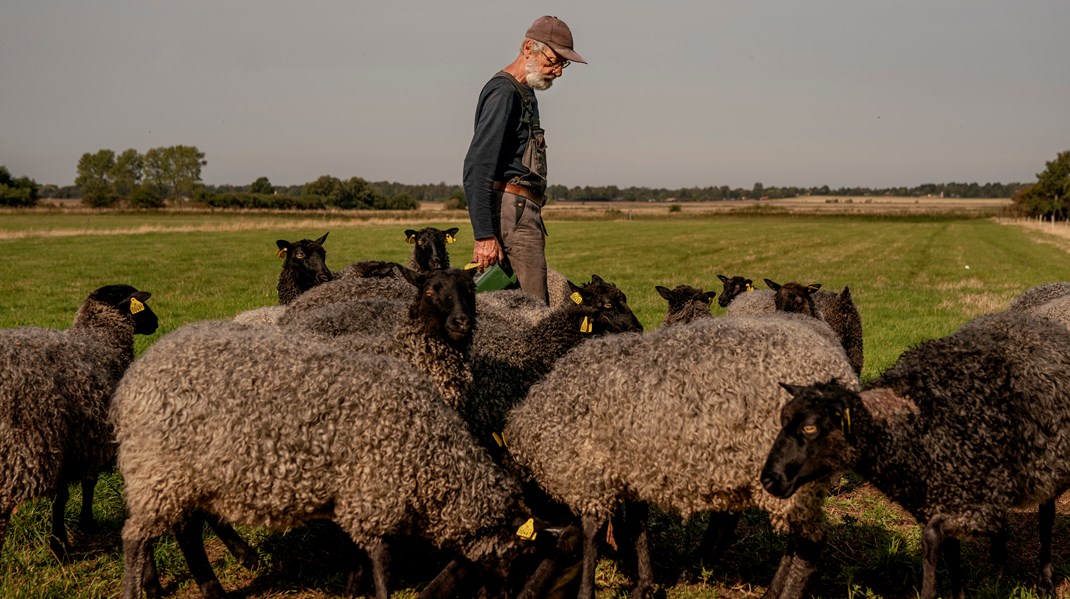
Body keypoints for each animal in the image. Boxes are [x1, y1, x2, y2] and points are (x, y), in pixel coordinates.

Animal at [0, 284, 157, 556]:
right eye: (140, 305)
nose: (156, 322)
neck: (103, 338)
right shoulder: (84, 439)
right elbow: (76, 489)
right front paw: (62, 542)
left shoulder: (79, 441)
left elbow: (77, 488)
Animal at [111, 323, 547, 599]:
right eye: (519, 559)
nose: (508, 596)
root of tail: (133, 380)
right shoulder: (372, 495)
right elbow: (380, 560)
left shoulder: (356, 498)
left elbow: (360, 555)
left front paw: (352, 589)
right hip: (161, 469)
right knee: (137, 537)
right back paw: (141, 589)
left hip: (185, 475)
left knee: (182, 530)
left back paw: (208, 586)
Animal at [502, 314, 860, 599]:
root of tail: (841, 371)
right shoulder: (631, 468)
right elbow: (638, 524)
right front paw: (644, 584)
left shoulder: (590, 474)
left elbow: (591, 534)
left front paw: (586, 592)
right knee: (796, 541)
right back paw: (771, 592)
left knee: (810, 544)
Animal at [761, 310, 1070, 594]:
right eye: (782, 419)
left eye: (810, 428)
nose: (769, 479)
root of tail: (1038, 322)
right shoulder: (941, 497)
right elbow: (952, 554)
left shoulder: (976, 503)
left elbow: (932, 539)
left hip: (1049, 469)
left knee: (1046, 519)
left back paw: (1045, 582)